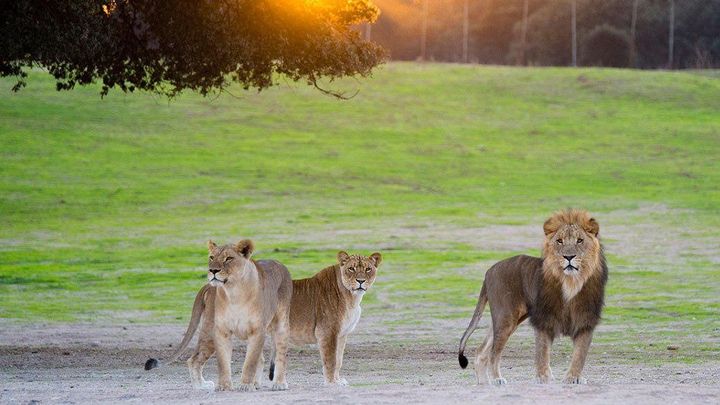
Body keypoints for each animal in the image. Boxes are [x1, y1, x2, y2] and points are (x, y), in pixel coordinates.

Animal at [144, 239, 293, 392]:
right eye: (211, 257)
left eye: (228, 258)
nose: (213, 270)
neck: (234, 293)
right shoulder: (221, 330)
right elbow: (223, 361)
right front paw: (224, 386)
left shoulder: (257, 330)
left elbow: (250, 361)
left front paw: (245, 385)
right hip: (209, 330)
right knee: (194, 359)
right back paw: (201, 386)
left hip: (281, 325)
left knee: (280, 355)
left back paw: (278, 383)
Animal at [268, 251, 382, 385]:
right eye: (351, 268)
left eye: (368, 269)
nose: (360, 281)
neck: (352, 298)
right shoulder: (327, 332)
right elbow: (331, 359)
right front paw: (332, 382)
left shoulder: (342, 334)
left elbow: (339, 359)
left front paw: (338, 380)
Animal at [458, 209, 608, 385]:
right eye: (559, 241)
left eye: (580, 240)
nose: (569, 257)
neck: (571, 283)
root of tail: (489, 271)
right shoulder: (543, 319)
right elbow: (542, 352)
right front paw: (544, 377)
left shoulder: (585, 321)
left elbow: (580, 354)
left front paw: (573, 378)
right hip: (506, 318)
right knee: (494, 352)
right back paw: (497, 379)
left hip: (508, 319)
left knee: (482, 350)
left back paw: (483, 382)